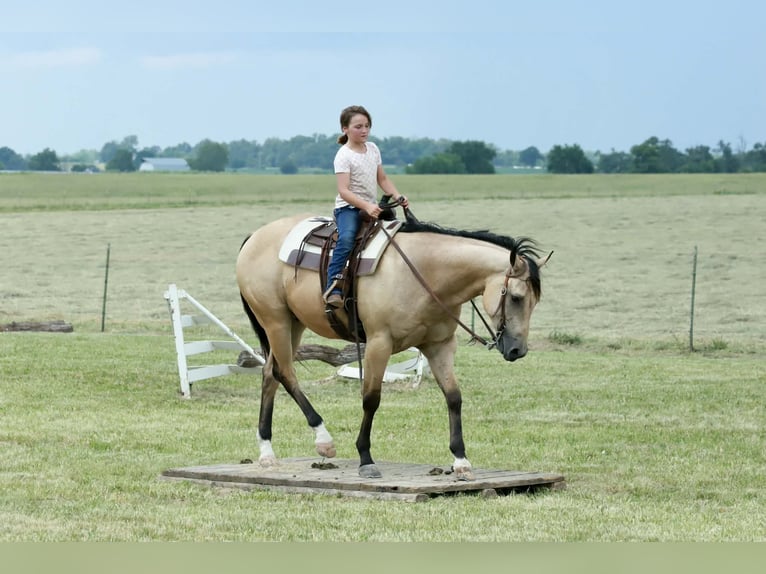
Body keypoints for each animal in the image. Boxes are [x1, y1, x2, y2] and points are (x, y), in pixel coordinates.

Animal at [236, 212, 549, 480]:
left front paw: (461, 460)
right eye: (517, 297)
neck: (425, 273)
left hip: (293, 323)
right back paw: (324, 441)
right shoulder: (378, 343)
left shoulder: (439, 345)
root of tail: (254, 237)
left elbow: (453, 396)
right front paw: (365, 459)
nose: (518, 351)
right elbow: (371, 399)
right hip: (275, 320)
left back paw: (266, 453)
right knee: (285, 373)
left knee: (270, 374)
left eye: (534, 301)